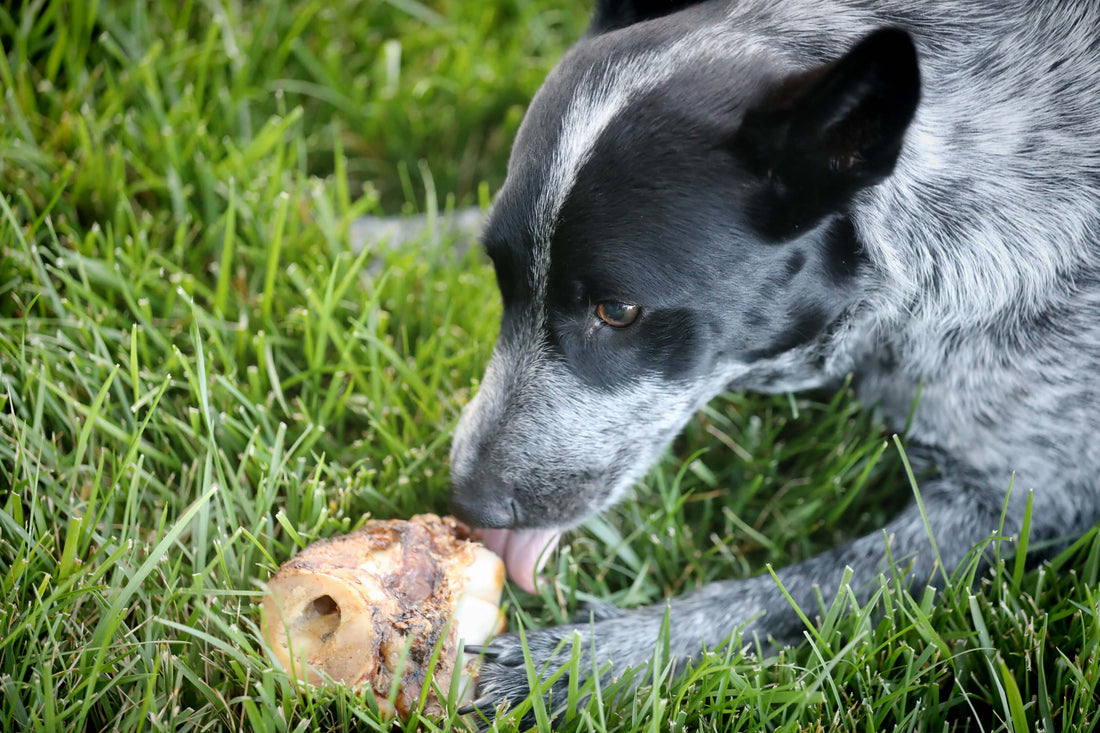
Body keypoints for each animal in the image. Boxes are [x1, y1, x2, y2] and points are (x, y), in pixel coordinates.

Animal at [444, 0, 1100, 717]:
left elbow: (803, 588)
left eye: (616, 311)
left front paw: (581, 662)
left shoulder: (1030, 496)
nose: (467, 503)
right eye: (499, 278)